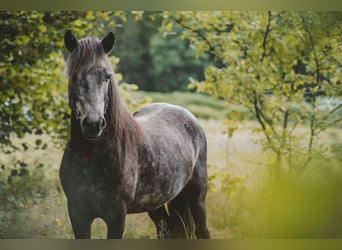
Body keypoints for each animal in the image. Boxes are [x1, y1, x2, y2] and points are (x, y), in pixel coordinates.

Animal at [59, 30, 210, 239]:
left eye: (107, 76)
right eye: (73, 76)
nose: (93, 124)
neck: (91, 156)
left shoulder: (116, 216)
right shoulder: (77, 213)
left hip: (197, 198)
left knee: (202, 231)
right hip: (160, 203)